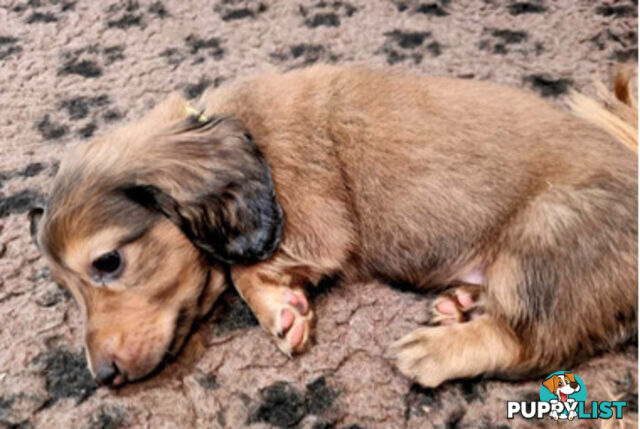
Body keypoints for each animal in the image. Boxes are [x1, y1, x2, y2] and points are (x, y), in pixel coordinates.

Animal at [28, 64, 636, 388]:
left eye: (108, 262)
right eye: (66, 288)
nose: (102, 377)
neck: (246, 132)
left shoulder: (315, 225)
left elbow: (241, 271)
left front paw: (280, 310)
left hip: (548, 235)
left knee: (531, 345)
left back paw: (435, 350)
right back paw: (461, 303)